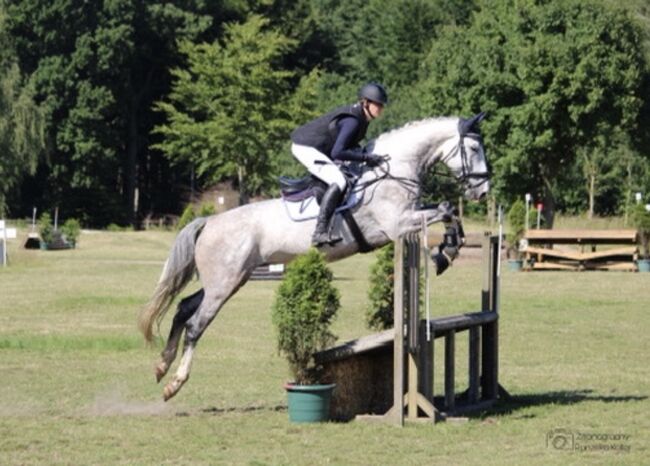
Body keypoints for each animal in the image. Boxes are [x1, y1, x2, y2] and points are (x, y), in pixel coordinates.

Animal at [139, 114, 488, 400]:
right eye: (473, 149)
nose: (482, 192)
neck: (395, 170)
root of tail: (209, 222)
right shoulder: (398, 223)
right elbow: (445, 209)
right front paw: (444, 253)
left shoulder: (406, 220)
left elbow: (447, 212)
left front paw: (448, 251)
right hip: (224, 283)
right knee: (195, 324)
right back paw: (174, 383)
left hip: (230, 280)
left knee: (184, 307)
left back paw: (160, 365)